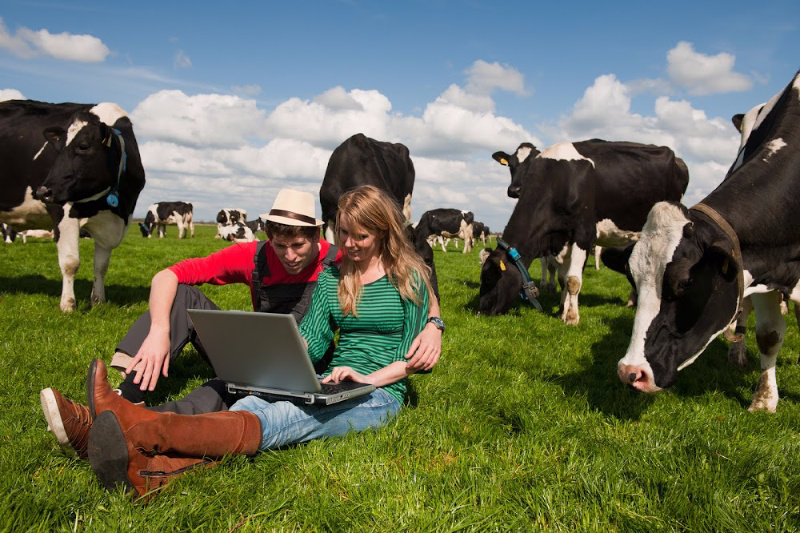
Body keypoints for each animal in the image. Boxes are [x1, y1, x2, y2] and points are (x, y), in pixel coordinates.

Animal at [0, 98, 145, 312]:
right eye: (57, 150)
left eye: (83, 146)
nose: (42, 192)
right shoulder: (63, 211)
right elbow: (71, 262)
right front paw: (68, 305)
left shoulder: (112, 222)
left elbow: (101, 265)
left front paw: (98, 301)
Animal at [478, 139, 692, 324]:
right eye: (510, 165)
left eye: (489, 278)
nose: (481, 311)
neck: (558, 180)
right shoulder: (562, 238)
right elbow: (563, 278)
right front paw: (562, 310)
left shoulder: (584, 233)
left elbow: (573, 280)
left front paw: (572, 318)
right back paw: (632, 300)